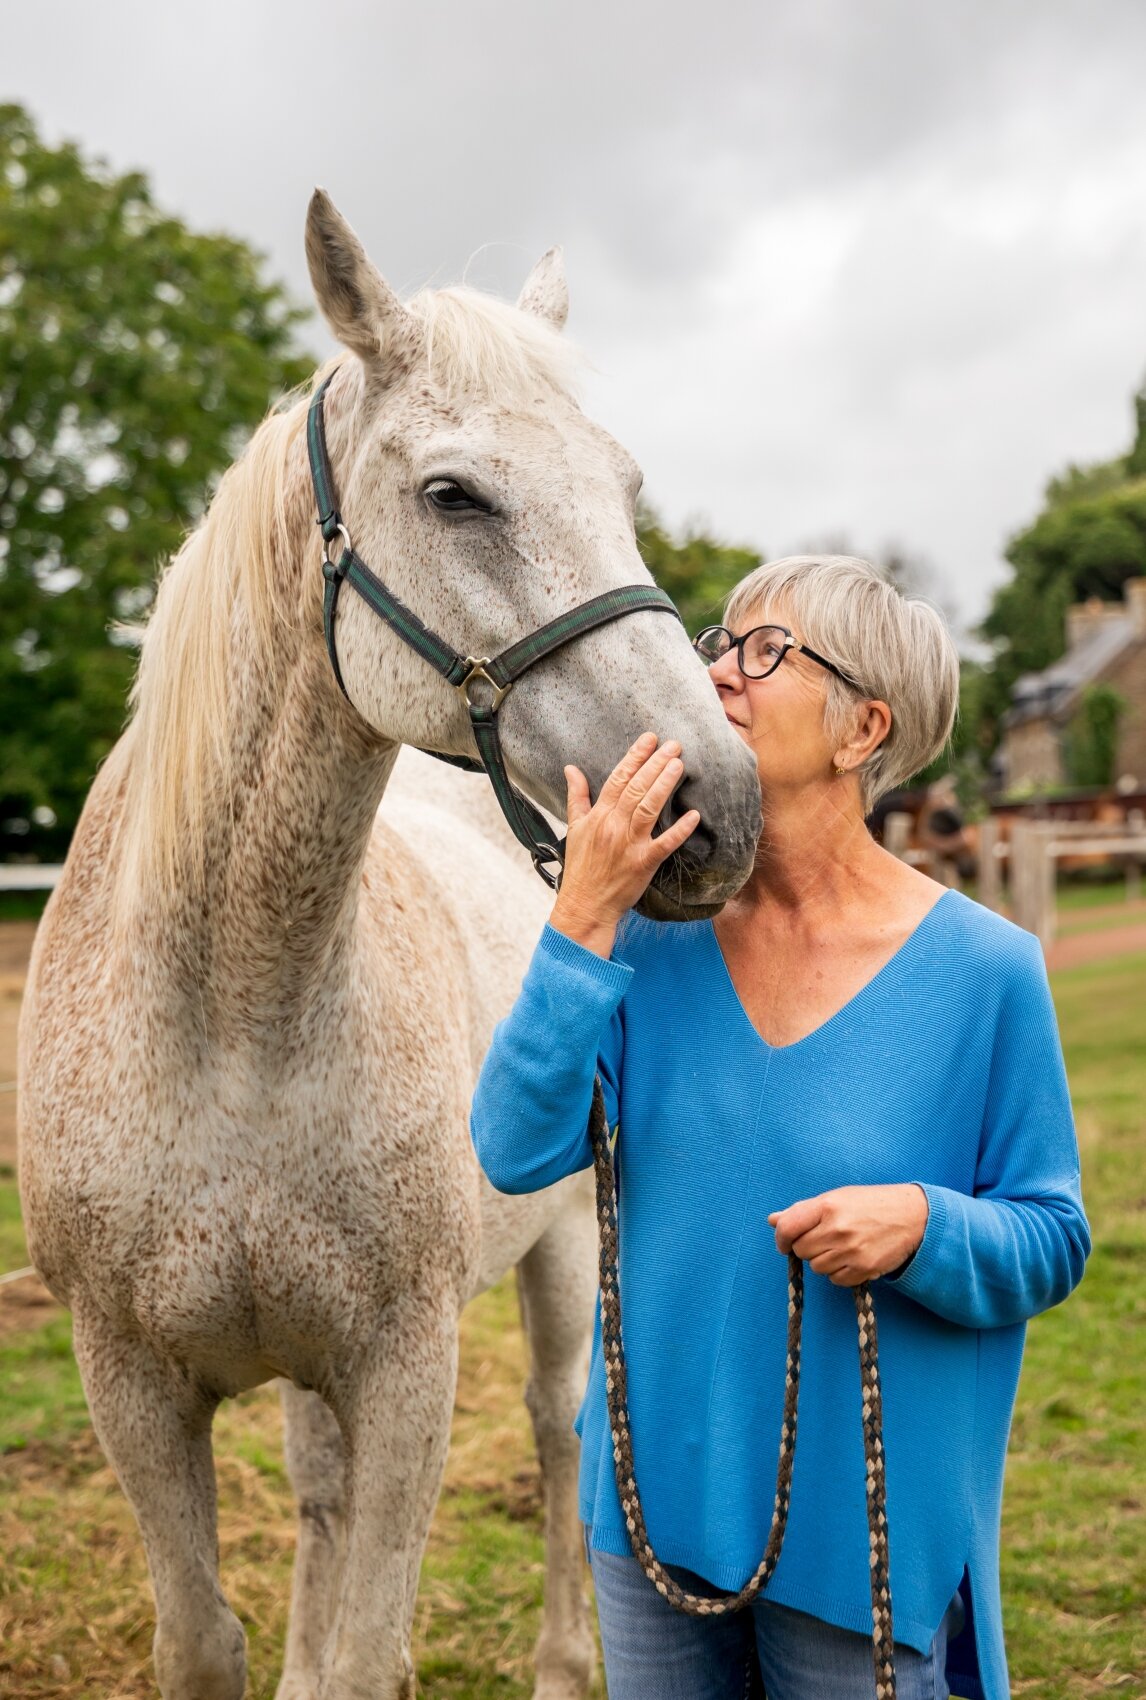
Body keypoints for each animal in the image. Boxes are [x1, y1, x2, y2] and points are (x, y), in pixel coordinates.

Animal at [17, 190, 761, 1700]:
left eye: (624, 487)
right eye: (455, 496)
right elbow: (211, 1638)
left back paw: (560, 1663)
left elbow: (368, 1643)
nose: (714, 805)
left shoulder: (408, 1368)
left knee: (554, 1432)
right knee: (319, 1491)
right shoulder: (130, 1382)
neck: (235, 1019)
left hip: (557, 1266)